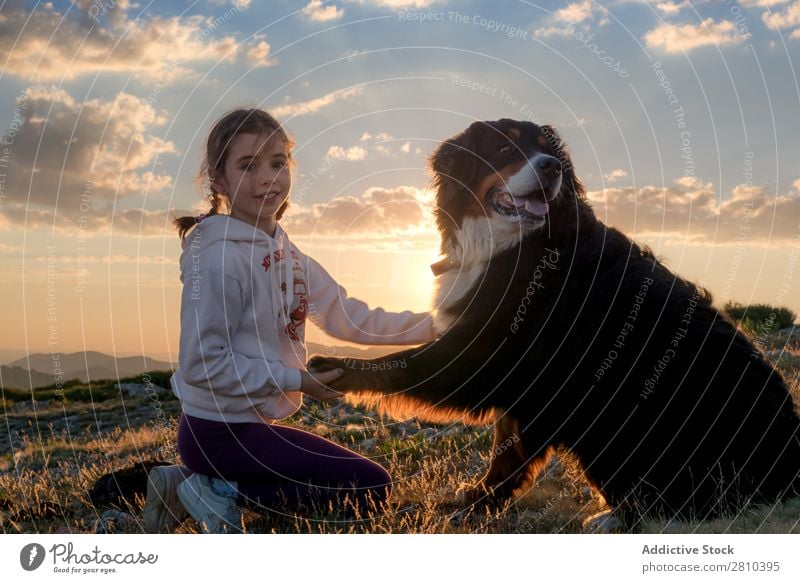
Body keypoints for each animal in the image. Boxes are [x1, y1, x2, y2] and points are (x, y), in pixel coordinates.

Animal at [308, 121, 800, 528]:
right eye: (505, 147)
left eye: (549, 152)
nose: (550, 167)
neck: (517, 244)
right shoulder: (521, 382)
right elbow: (506, 448)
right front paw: (478, 500)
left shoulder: (489, 357)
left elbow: (400, 366)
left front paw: (333, 367)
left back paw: (614, 516)